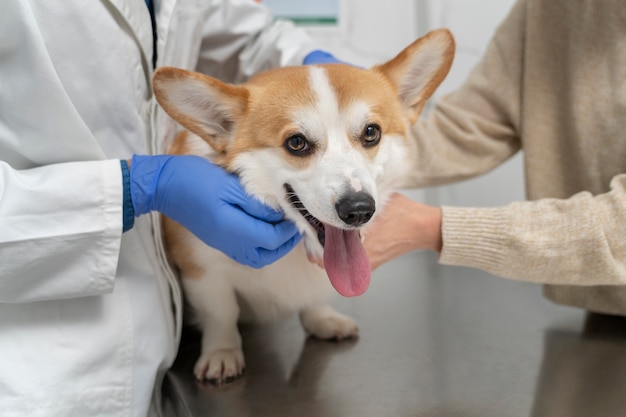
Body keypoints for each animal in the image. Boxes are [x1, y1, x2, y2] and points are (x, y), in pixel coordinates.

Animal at [151, 28, 454, 384]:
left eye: (371, 132)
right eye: (296, 143)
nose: (359, 210)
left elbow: (314, 300)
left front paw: (321, 319)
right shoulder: (202, 270)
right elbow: (221, 313)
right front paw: (222, 353)